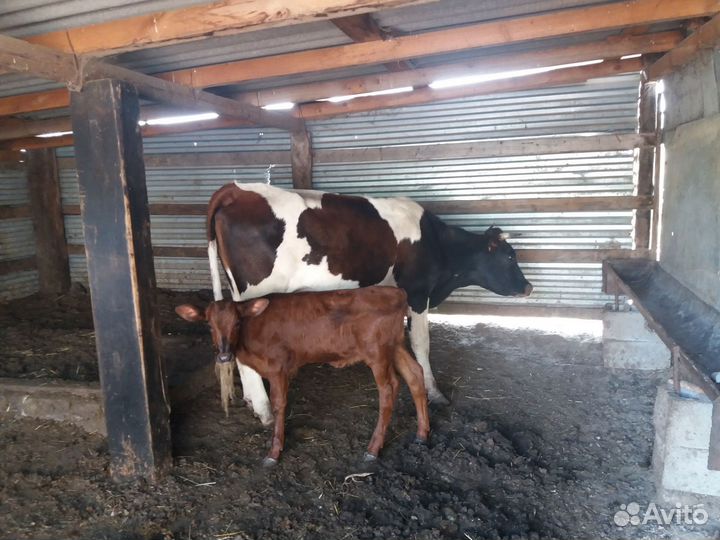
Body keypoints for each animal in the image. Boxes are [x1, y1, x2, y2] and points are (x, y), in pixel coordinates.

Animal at [176, 286, 431, 466]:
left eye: (237, 322)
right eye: (209, 325)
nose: (224, 356)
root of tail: (396, 291)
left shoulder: (278, 366)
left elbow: (278, 404)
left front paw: (274, 452)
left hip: (377, 353)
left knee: (389, 389)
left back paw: (373, 449)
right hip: (395, 345)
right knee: (415, 374)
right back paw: (422, 433)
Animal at [207, 182, 533, 425]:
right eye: (509, 256)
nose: (529, 287)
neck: (436, 243)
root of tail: (236, 189)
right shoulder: (418, 293)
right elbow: (421, 343)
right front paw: (435, 392)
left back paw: (252, 400)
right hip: (258, 292)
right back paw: (264, 409)